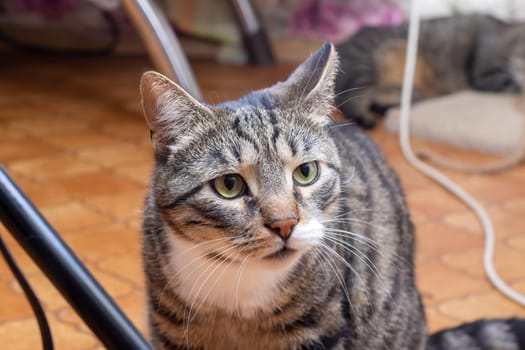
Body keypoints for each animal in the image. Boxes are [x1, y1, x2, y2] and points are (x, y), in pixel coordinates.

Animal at [336, 14, 524, 129]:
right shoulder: (484, 73)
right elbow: (512, 86)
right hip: (363, 66)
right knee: (350, 98)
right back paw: (364, 116)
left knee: (381, 98)